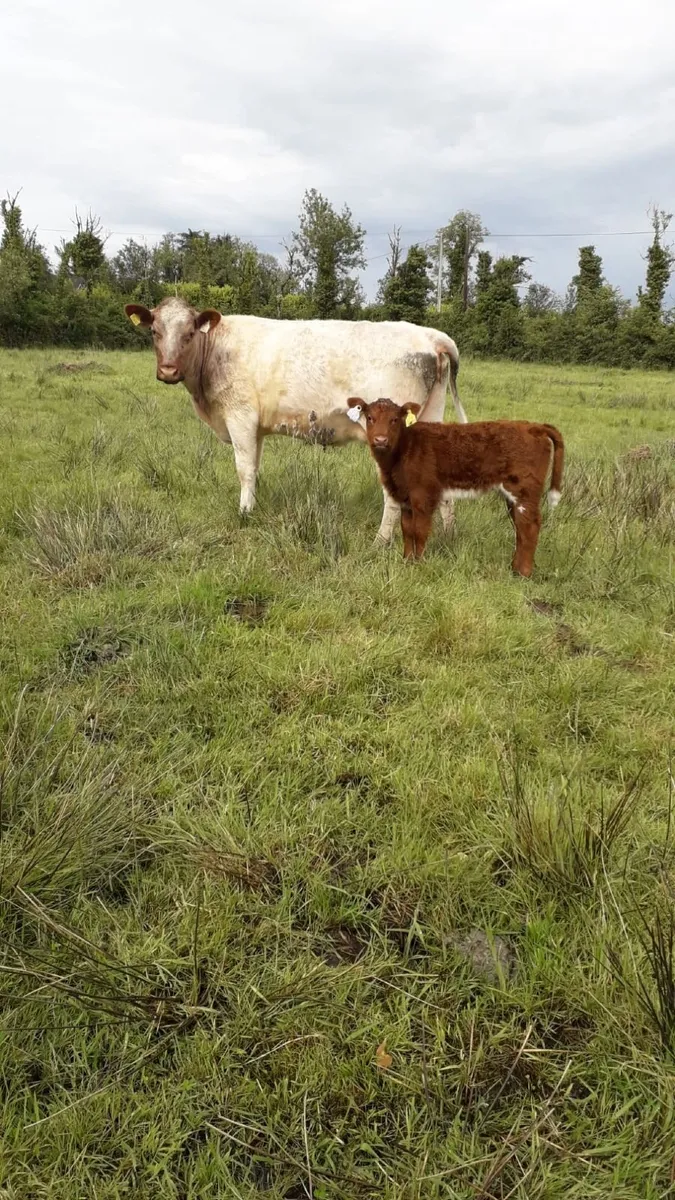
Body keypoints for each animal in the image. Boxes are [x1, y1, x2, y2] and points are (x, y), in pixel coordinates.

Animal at [124, 298, 468, 543]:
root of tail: (428, 334)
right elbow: (255, 469)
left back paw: (380, 542)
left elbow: (244, 469)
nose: (168, 371)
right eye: (154, 332)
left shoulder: (240, 415)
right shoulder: (256, 427)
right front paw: (253, 509)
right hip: (430, 414)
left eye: (189, 333)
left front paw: (243, 514)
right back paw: (448, 535)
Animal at [347, 397, 564, 576]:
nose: (380, 440)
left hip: (524, 489)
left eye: (394, 419)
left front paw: (418, 564)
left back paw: (524, 573)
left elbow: (420, 530)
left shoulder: (424, 494)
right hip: (514, 495)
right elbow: (407, 530)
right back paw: (514, 569)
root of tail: (534, 427)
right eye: (370, 417)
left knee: (530, 526)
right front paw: (407, 561)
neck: (403, 451)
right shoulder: (405, 497)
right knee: (520, 526)